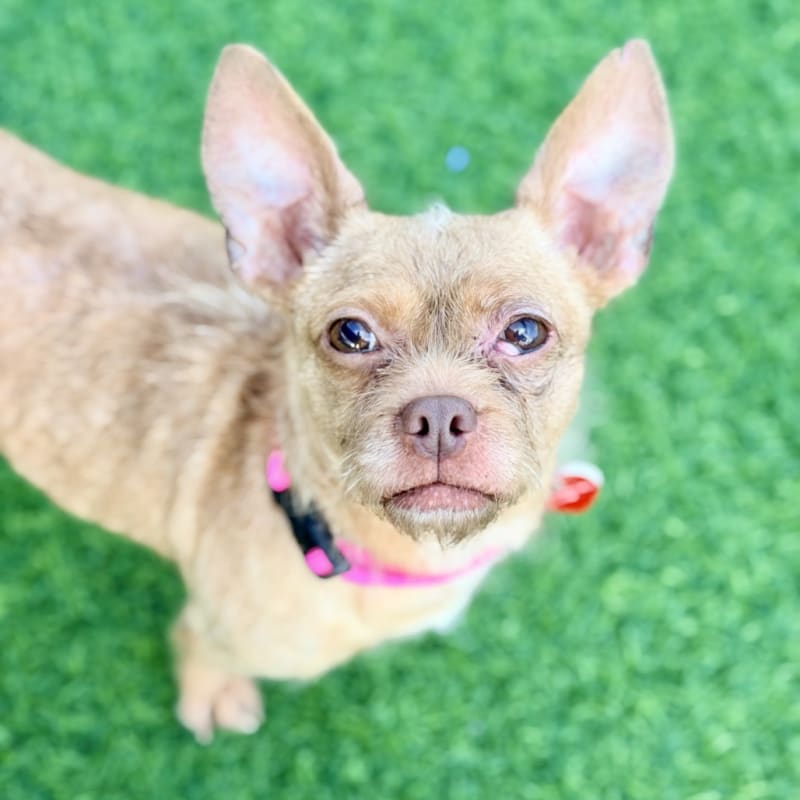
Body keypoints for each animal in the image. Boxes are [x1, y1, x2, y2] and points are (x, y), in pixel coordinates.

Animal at [0, 39, 674, 741]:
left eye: (525, 332)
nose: (439, 415)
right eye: (350, 334)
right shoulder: (210, 629)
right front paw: (212, 696)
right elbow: (200, 652)